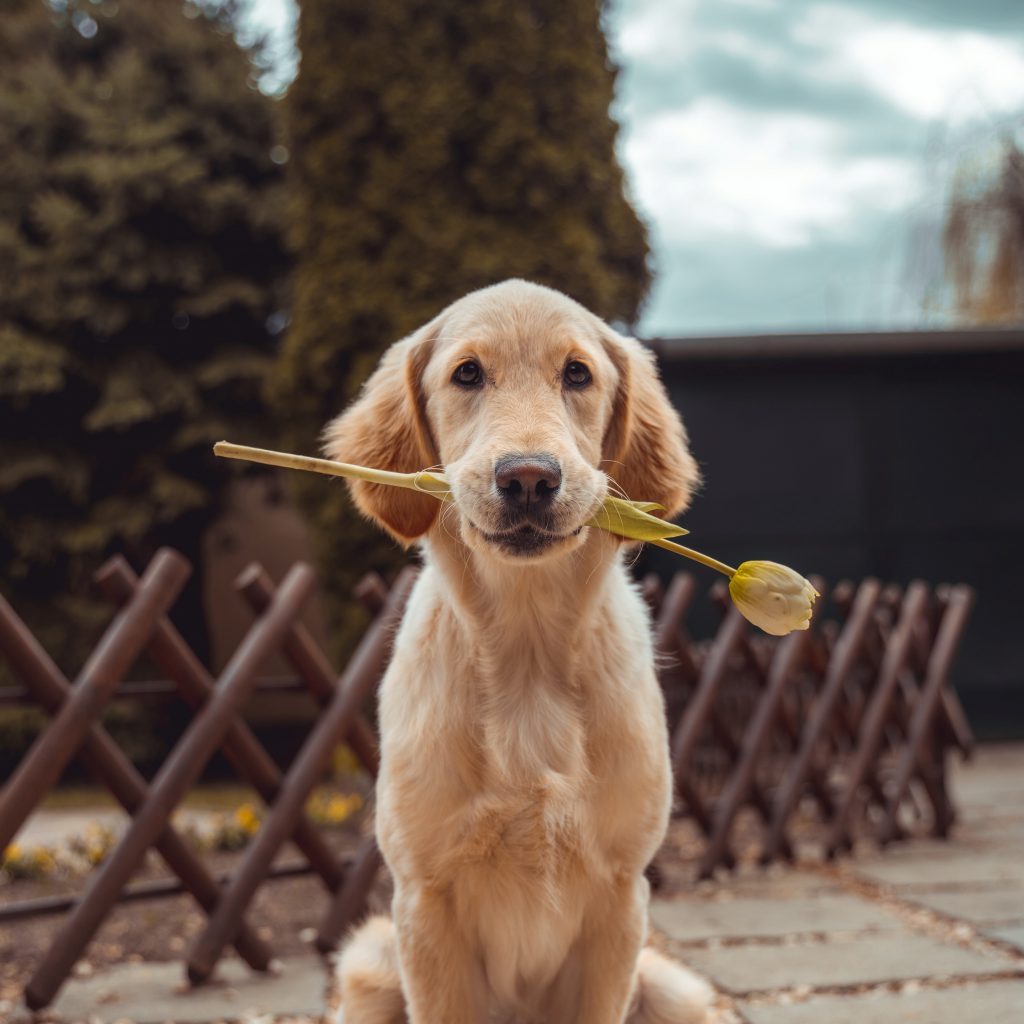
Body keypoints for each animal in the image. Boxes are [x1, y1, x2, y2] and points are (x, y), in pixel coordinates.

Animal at [327, 280, 712, 1024]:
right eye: (468, 374)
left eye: (578, 374)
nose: (529, 478)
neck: (528, 653)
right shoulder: (424, 899)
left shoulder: (621, 898)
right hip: (369, 962)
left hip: (676, 990)